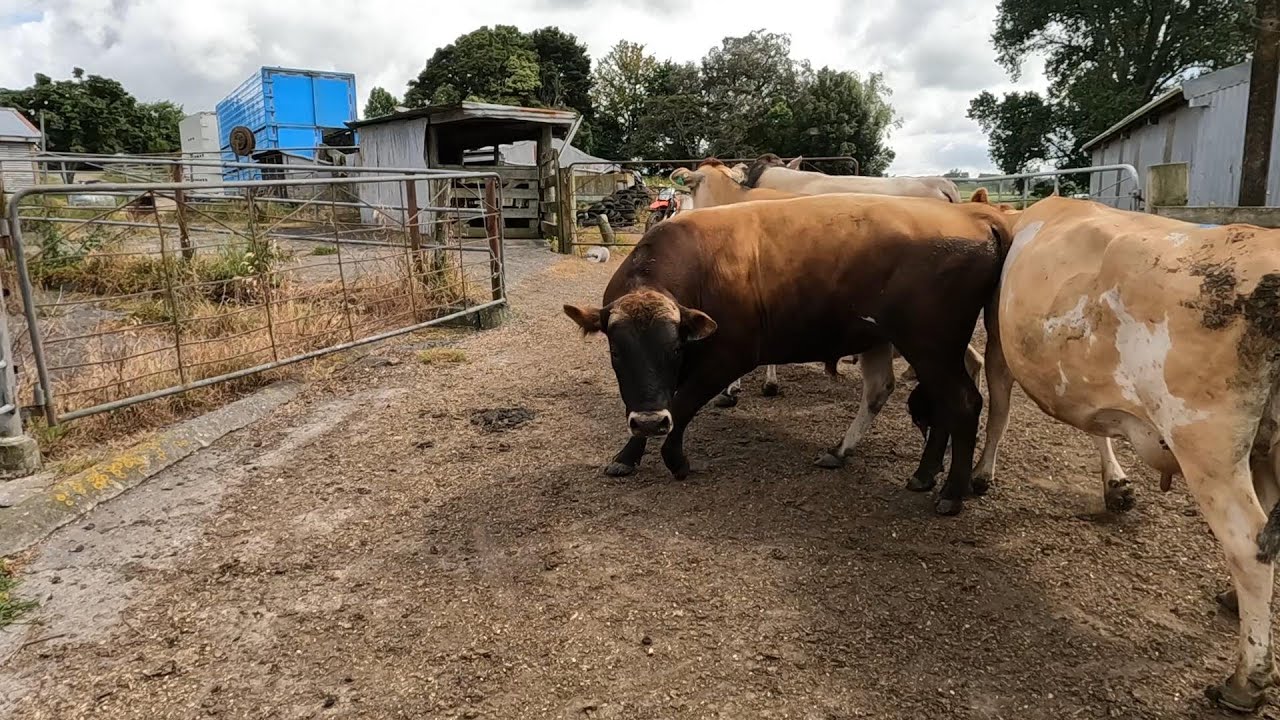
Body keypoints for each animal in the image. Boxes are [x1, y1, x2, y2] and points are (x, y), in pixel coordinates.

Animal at [563, 192, 1012, 515]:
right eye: (615, 350)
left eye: (675, 346)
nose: (650, 422)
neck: (699, 266)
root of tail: (976, 216)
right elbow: (660, 404)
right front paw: (629, 454)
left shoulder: (729, 357)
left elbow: (682, 404)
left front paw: (674, 459)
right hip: (908, 345)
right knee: (911, 398)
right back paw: (905, 468)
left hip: (931, 346)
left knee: (962, 403)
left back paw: (951, 492)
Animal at [967, 195, 1280, 711]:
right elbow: (1098, 429)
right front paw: (1116, 485)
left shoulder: (997, 339)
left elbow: (1000, 406)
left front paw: (982, 471)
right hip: (1264, 448)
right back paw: (1235, 603)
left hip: (1206, 446)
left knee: (1248, 545)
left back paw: (1245, 680)